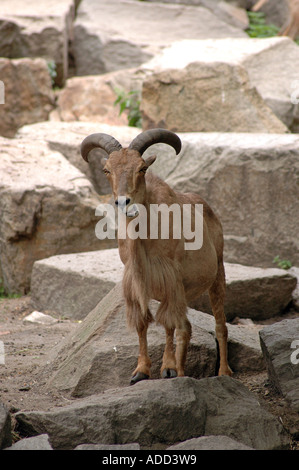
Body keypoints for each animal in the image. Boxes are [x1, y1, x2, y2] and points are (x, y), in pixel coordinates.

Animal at [81, 127, 233, 382]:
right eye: (107, 170)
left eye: (142, 168)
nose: (123, 202)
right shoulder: (135, 284)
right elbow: (143, 323)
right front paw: (141, 371)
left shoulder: (170, 279)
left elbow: (168, 323)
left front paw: (168, 368)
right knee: (186, 328)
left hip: (217, 273)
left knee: (219, 325)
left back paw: (223, 372)